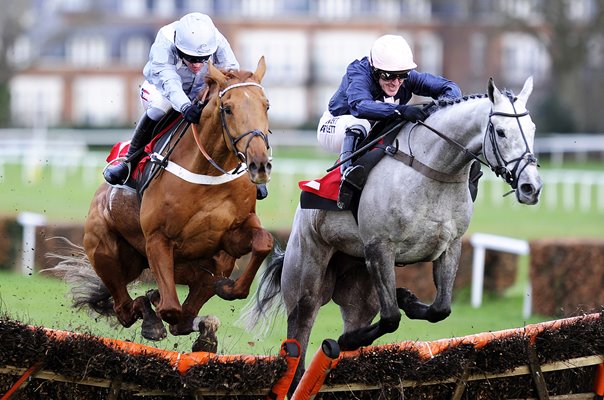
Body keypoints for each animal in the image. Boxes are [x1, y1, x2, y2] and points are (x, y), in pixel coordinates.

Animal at [52, 57, 274, 350]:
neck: (208, 173)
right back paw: (151, 315)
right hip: (107, 254)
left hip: (204, 265)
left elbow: (263, 242)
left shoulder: (231, 237)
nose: (259, 164)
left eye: (266, 105)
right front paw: (156, 314)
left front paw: (229, 289)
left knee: (181, 312)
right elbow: (170, 309)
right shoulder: (158, 239)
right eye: (227, 108)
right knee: (127, 309)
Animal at [242, 77, 544, 394]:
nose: (530, 187)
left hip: (359, 292)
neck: (433, 171)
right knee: (299, 336)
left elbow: (440, 309)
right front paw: (352, 335)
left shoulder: (450, 247)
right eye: (501, 131)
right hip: (307, 277)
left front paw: (407, 298)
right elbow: (390, 319)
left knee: (356, 315)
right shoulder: (380, 248)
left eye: (532, 129)